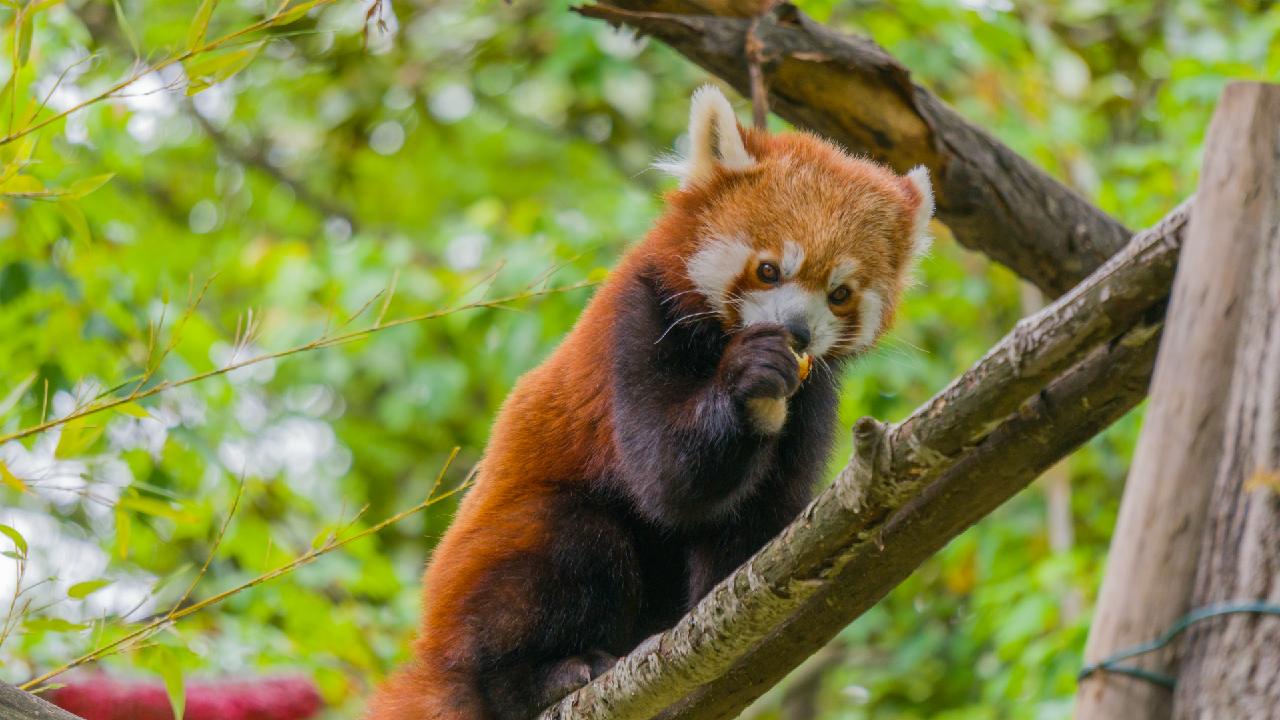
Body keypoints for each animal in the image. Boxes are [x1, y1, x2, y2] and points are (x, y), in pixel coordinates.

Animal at [366, 85, 936, 717]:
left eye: (839, 294)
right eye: (768, 270)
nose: (797, 332)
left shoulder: (815, 398)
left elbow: (753, 521)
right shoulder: (635, 323)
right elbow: (669, 478)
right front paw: (751, 379)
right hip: (492, 570)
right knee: (575, 544)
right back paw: (545, 674)